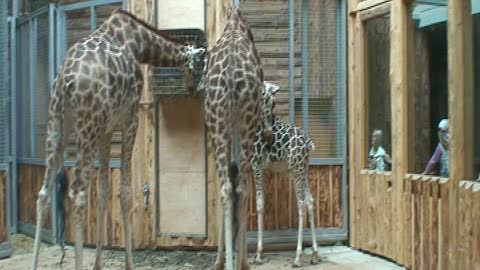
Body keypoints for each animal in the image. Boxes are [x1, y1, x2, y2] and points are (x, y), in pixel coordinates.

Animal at [30, 8, 204, 270]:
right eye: (200, 64)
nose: (196, 89)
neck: (139, 43)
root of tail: (65, 80)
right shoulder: (130, 119)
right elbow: (126, 193)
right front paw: (129, 263)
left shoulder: (106, 130)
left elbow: (103, 192)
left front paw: (98, 263)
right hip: (87, 127)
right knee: (78, 192)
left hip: (57, 125)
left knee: (43, 192)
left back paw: (33, 263)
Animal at [202, 6, 270, 270]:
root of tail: (231, 75)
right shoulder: (241, 126)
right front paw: (241, 260)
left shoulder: (226, 128)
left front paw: (220, 260)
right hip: (245, 126)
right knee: (240, 188)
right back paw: (241, 263)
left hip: (220, 125)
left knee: (226, 188)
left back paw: (227, 262)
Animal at [249, 81, 320, 266]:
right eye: (267, 100)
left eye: (273, 102)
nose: (269, 135)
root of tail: (307, 143)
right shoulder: (259, 167)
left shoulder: (256, 165)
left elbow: (259, 203)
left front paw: (258, 254)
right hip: (304, 168)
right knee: (310, 201)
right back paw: (315, 254)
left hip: (296, 168)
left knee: (301, 203)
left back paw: (297, 257)